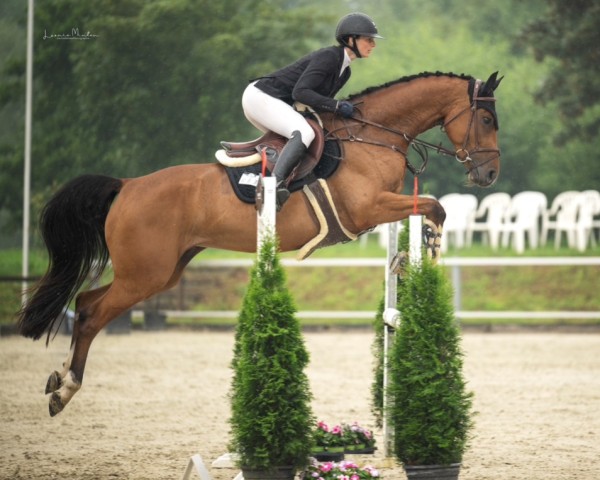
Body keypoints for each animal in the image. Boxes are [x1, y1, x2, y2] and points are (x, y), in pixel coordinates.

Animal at [17, 71, 502, 416]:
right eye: (486, 119)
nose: (490, 174)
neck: (373, 134)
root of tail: (126, 186)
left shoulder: (379, 209)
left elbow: (430, 208)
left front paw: (410, 256)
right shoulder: (368, 209)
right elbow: (435, 206)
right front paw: (427, 248)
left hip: (162, 272)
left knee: (86, 302)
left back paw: (59, 383)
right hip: (144, 275)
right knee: (91, 313)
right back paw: (65, 390)